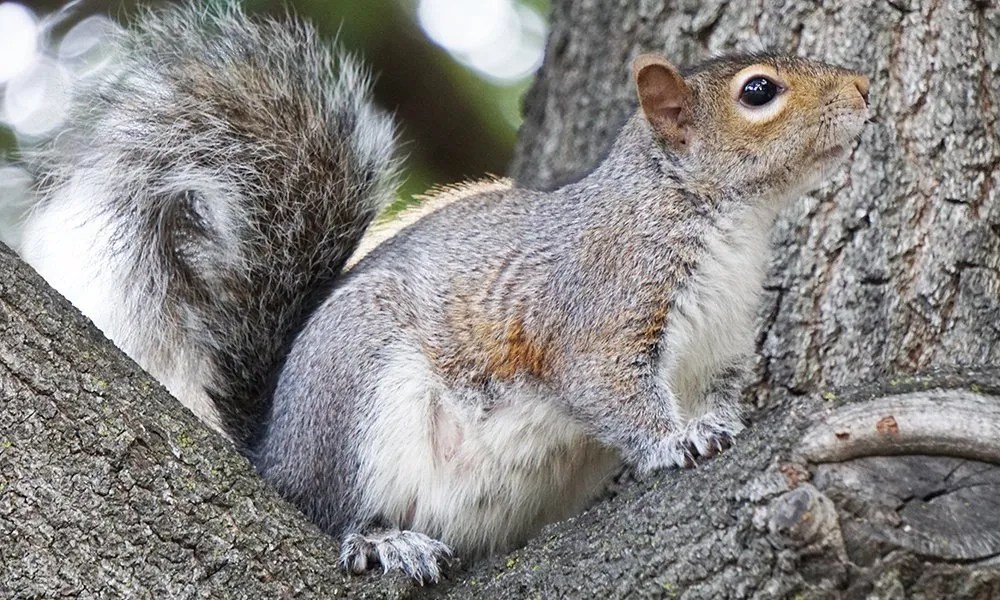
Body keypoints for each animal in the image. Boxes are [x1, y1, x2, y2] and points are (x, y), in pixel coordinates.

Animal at [16, 1, 870, 585]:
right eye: (758, 92)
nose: (864, 88)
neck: (724, 223)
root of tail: (272, 447)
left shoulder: (722, 341)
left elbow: (719, 389)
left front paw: (719, 420)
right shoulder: (600, 307)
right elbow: (610, 390)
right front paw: (677, 441)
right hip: (357, 406)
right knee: (328, 509)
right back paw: (380, 540)